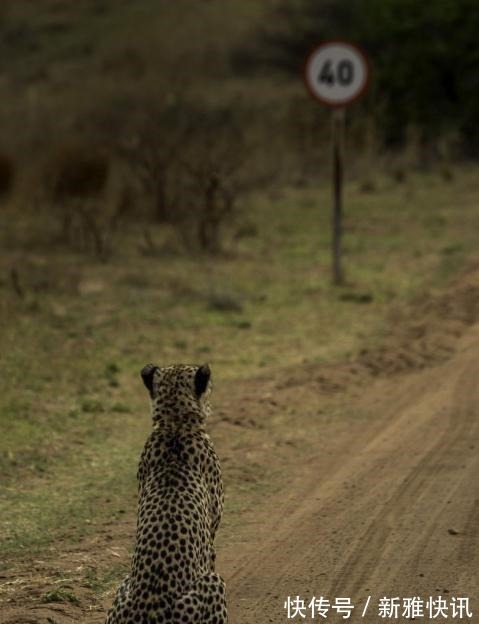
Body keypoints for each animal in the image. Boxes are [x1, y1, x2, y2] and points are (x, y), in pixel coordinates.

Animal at [107, 364, 229, 620]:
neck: (174, 424)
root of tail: (148, 609)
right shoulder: (212, 532)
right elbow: (211, 555)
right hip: (214, 583)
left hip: (124, 584)